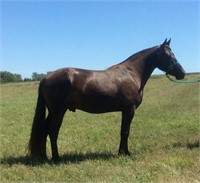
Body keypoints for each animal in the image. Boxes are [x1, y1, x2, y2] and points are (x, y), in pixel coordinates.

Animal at [28, 38, 186, 162]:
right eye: (167, 55)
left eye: (173, 54)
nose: (182, 73)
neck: (131, 74)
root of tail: (45, 78)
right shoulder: (129, 110)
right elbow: (125, 132)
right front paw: (123, 153)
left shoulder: (126, 111)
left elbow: (125, 131)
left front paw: (125, 152)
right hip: (58, 111)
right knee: (52, 131)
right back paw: (56, 158)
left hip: (54, 112)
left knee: (45, 130)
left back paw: (45, 157)